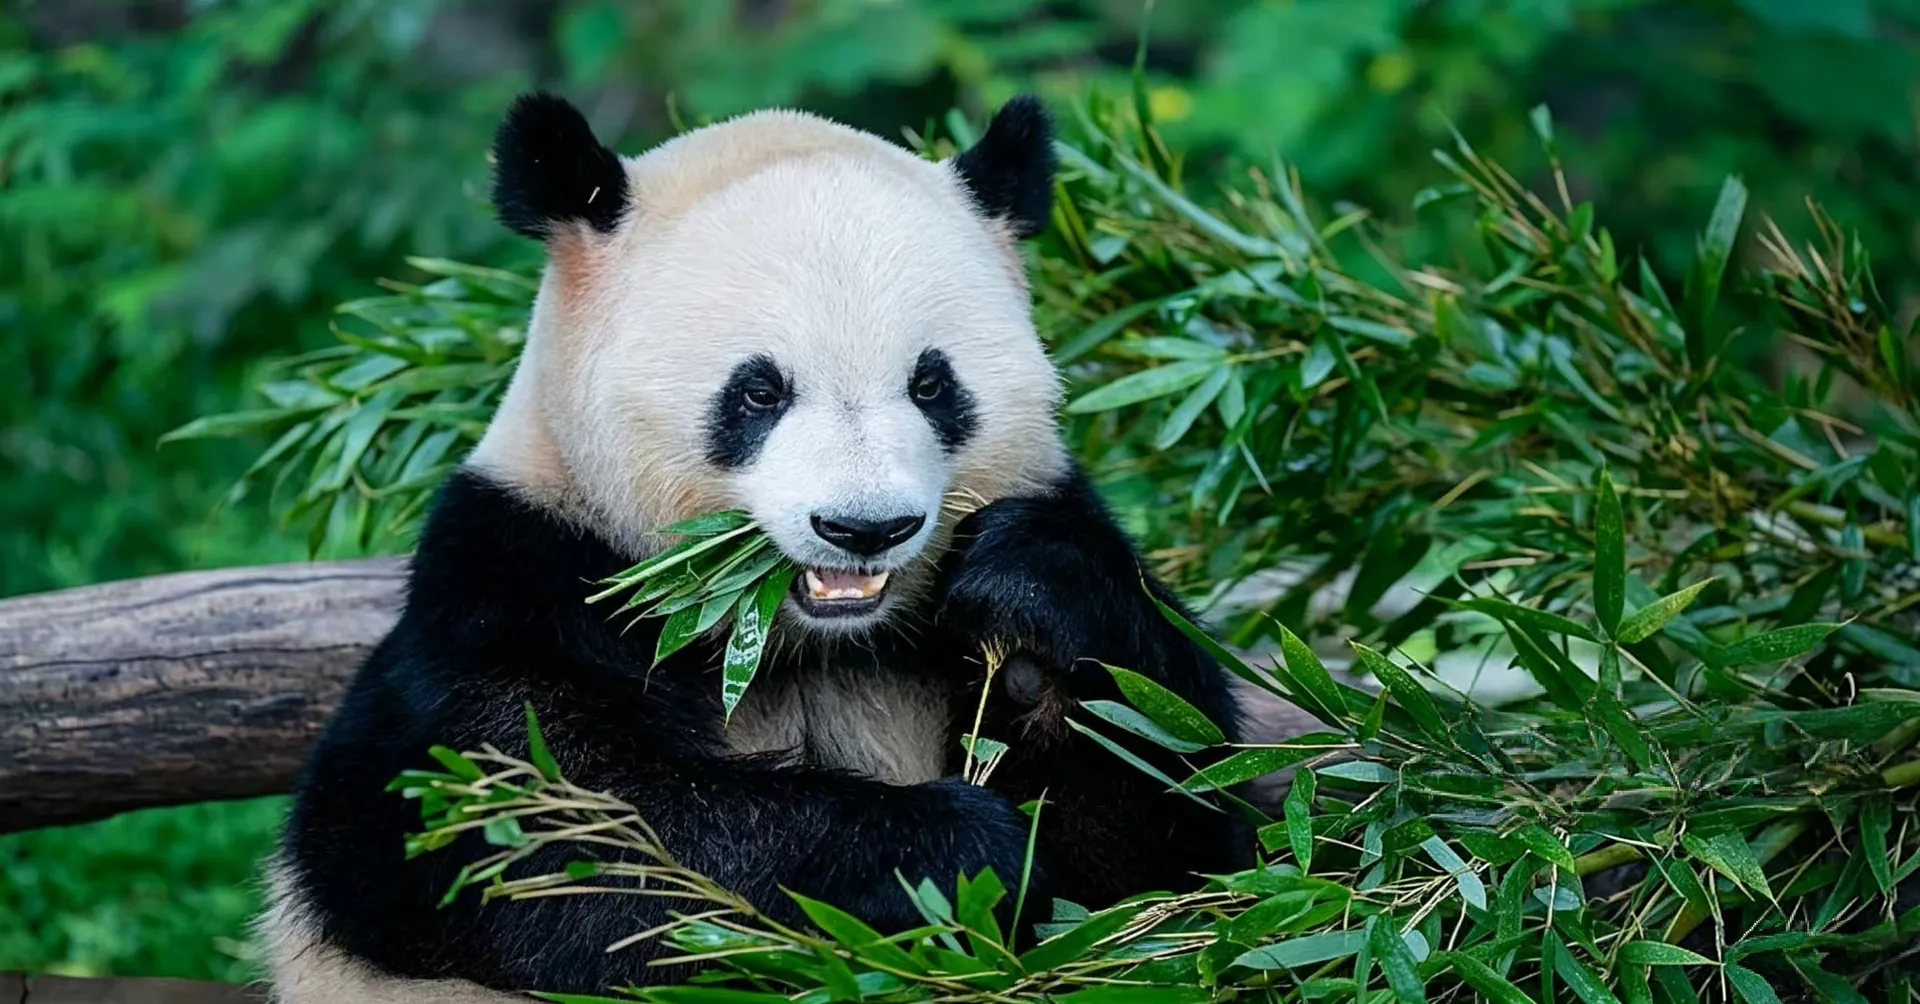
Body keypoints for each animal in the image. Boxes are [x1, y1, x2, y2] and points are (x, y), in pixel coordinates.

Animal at [262, 91, 1247, 1002]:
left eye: (932, 384)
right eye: (760, 391)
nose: (864, 527)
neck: (806, 644)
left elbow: (1165, 856)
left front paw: (1033, 605)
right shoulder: (520, 581)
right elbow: (550, 840)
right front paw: (952, 848)